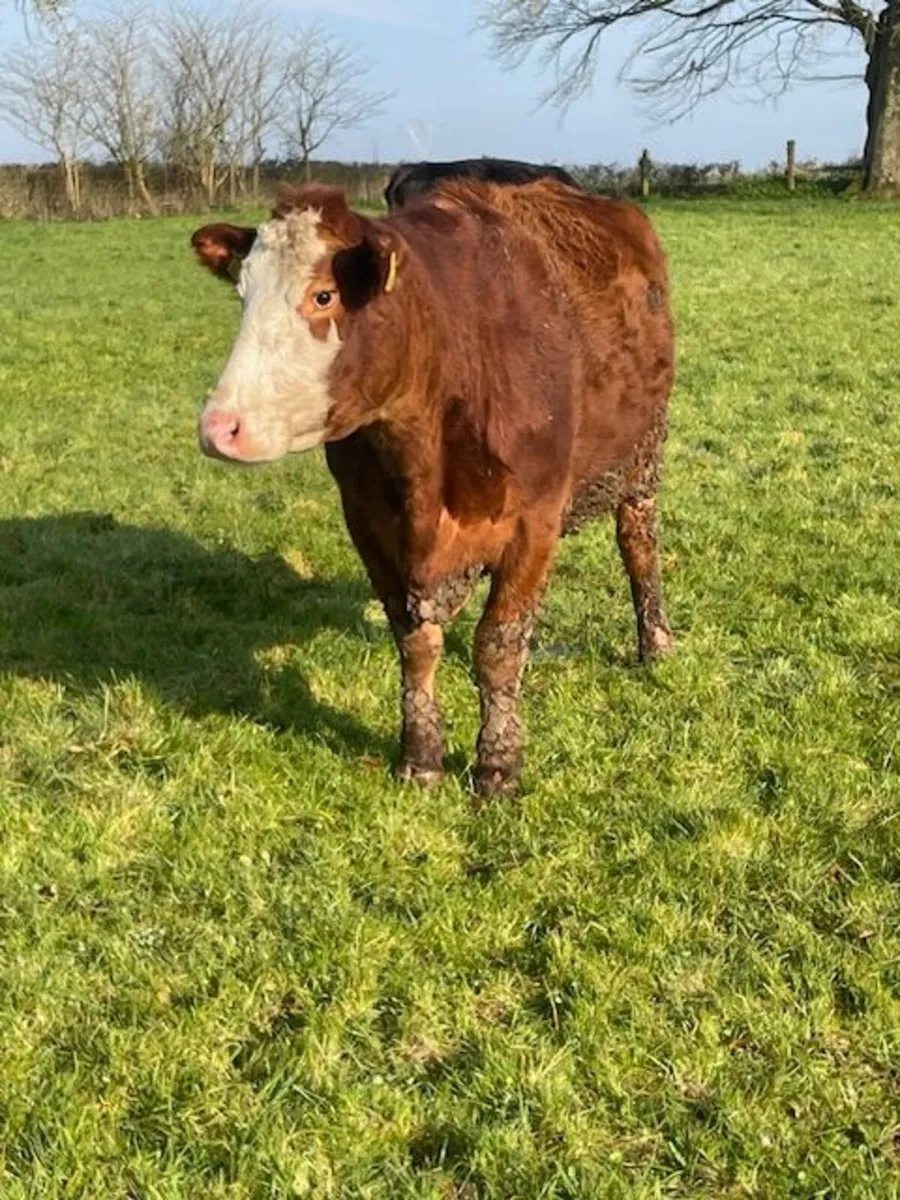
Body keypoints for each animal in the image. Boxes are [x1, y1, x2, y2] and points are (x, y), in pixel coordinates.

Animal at [190, 178, 674, 796]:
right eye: (242, 296)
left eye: (324, 296)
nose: (219, 427)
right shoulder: (369, 525)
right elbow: (416, 644)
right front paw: (420, 757)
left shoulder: (534, 525)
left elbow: (498, 645)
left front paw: (498, 765)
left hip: (642, 457)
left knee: (638, 545)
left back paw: (655, 642)